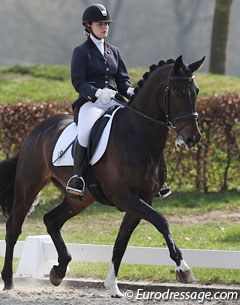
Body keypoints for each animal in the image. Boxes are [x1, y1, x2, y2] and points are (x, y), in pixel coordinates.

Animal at [0, 55, 204, 296]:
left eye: (196, 91)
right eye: (177, 93)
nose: (192, 138)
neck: (137, 136)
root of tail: (37, 129)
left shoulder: (141, 200)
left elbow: (121, 241)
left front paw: (112, 285)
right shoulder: (125, 197)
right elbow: (161, 220)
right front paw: (183, 269)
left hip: (80, 198)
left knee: (51, 220)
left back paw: (58, 271)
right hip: (29, 186)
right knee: (14, 227)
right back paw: (9, 280)